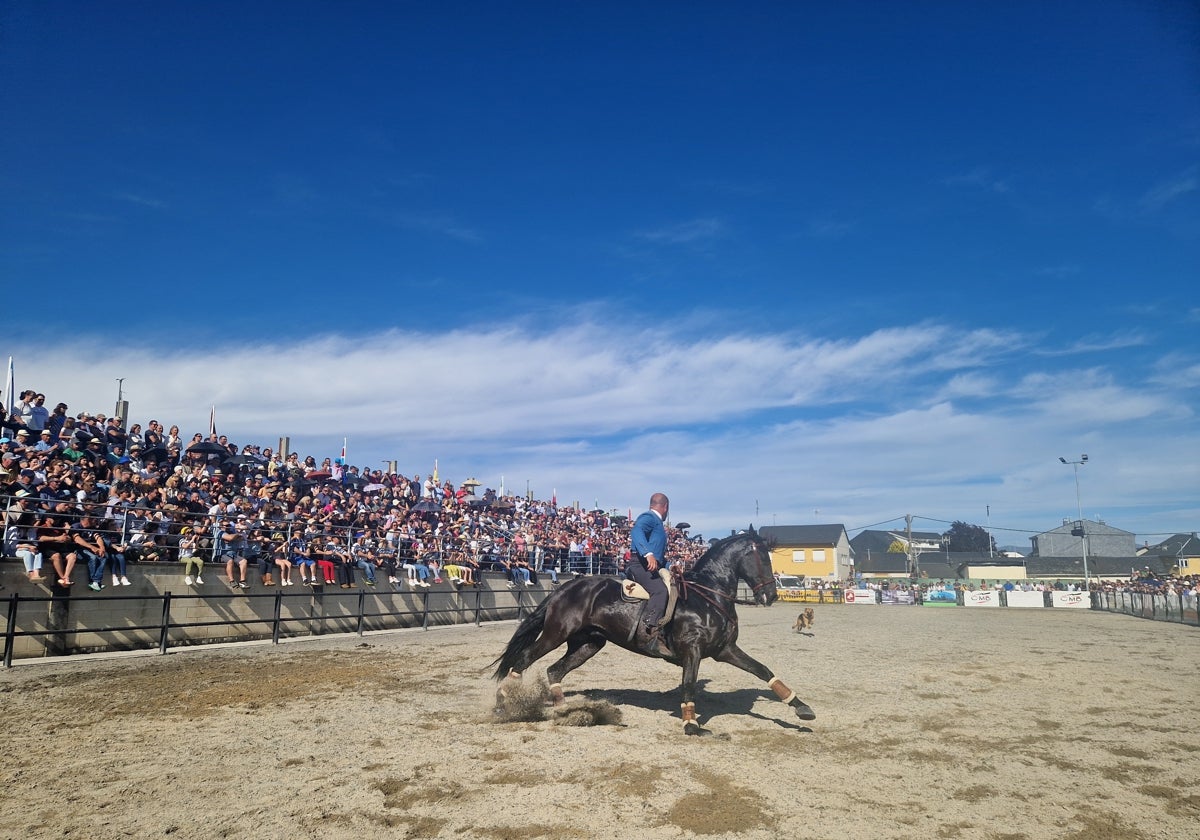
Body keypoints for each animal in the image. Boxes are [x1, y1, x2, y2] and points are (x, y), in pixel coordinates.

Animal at [489, 530, 816, 734]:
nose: (770, 596)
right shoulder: (693, 651)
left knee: (555, 670)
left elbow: (763, 670)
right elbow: (688, 685)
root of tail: (568, 586)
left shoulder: (725, 650)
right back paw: (503, 701)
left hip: (588, 644)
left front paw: (801, 708)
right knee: (525, 660)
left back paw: (564, 712)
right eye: (762, 557)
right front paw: (690, 724)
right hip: (554, 635)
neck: (708, 596)